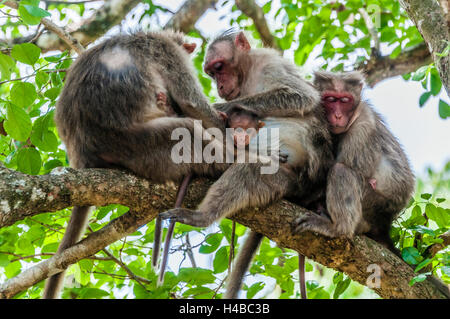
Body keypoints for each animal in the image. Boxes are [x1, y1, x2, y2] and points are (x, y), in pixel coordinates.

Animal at [159, 30, 334, 300]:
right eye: (211, 72)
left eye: (219, 67)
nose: (219, 87)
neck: (247, 74)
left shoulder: (269, 63)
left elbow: (302, 96)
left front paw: (222, 107)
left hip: (288, 179)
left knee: (250, 169)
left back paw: (201, 216)